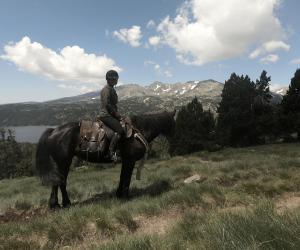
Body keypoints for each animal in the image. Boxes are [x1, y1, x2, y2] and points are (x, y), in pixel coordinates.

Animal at [35, 110, 176, 208]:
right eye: (173, 123)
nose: (175, 139)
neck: (138, 131)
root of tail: (53, 131)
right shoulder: (130, 160)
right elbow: (127, 178)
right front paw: (126, 197)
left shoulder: (125, 161)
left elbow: (122, 177)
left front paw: (119, 195)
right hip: (63, 162)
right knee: (60, 181)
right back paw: (61, 204)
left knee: (59, 181)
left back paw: (58, 204)